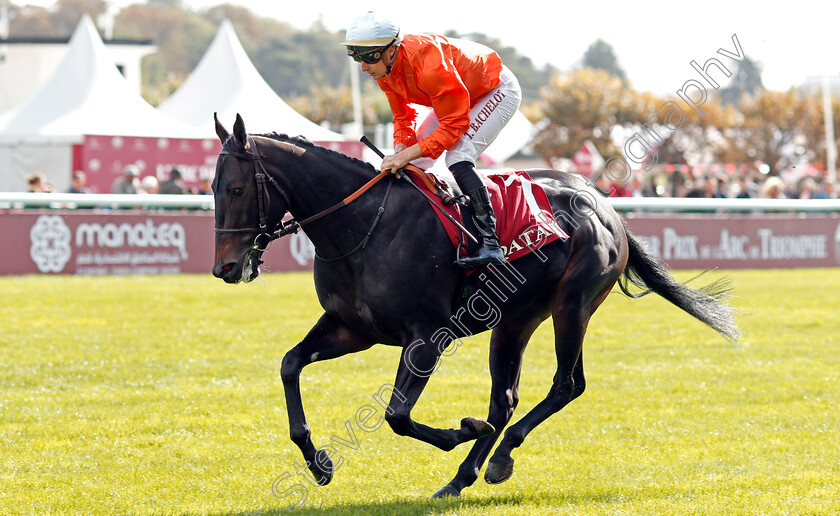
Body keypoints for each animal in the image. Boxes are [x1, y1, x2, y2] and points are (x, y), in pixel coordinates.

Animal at [212, 115, 740, 498]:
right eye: (213, 190)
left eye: (236, 189)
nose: (226, 268)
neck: (364, 227)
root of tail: (606, 206)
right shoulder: (351, 328)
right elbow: (289, 364)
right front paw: (319, 463)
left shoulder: (426, 336)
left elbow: (397, 415)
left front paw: (458, 431)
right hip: (516, 320)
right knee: (505, 399)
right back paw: (461, 478)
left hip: (572, 306)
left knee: (566, 384)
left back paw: (499, 458)